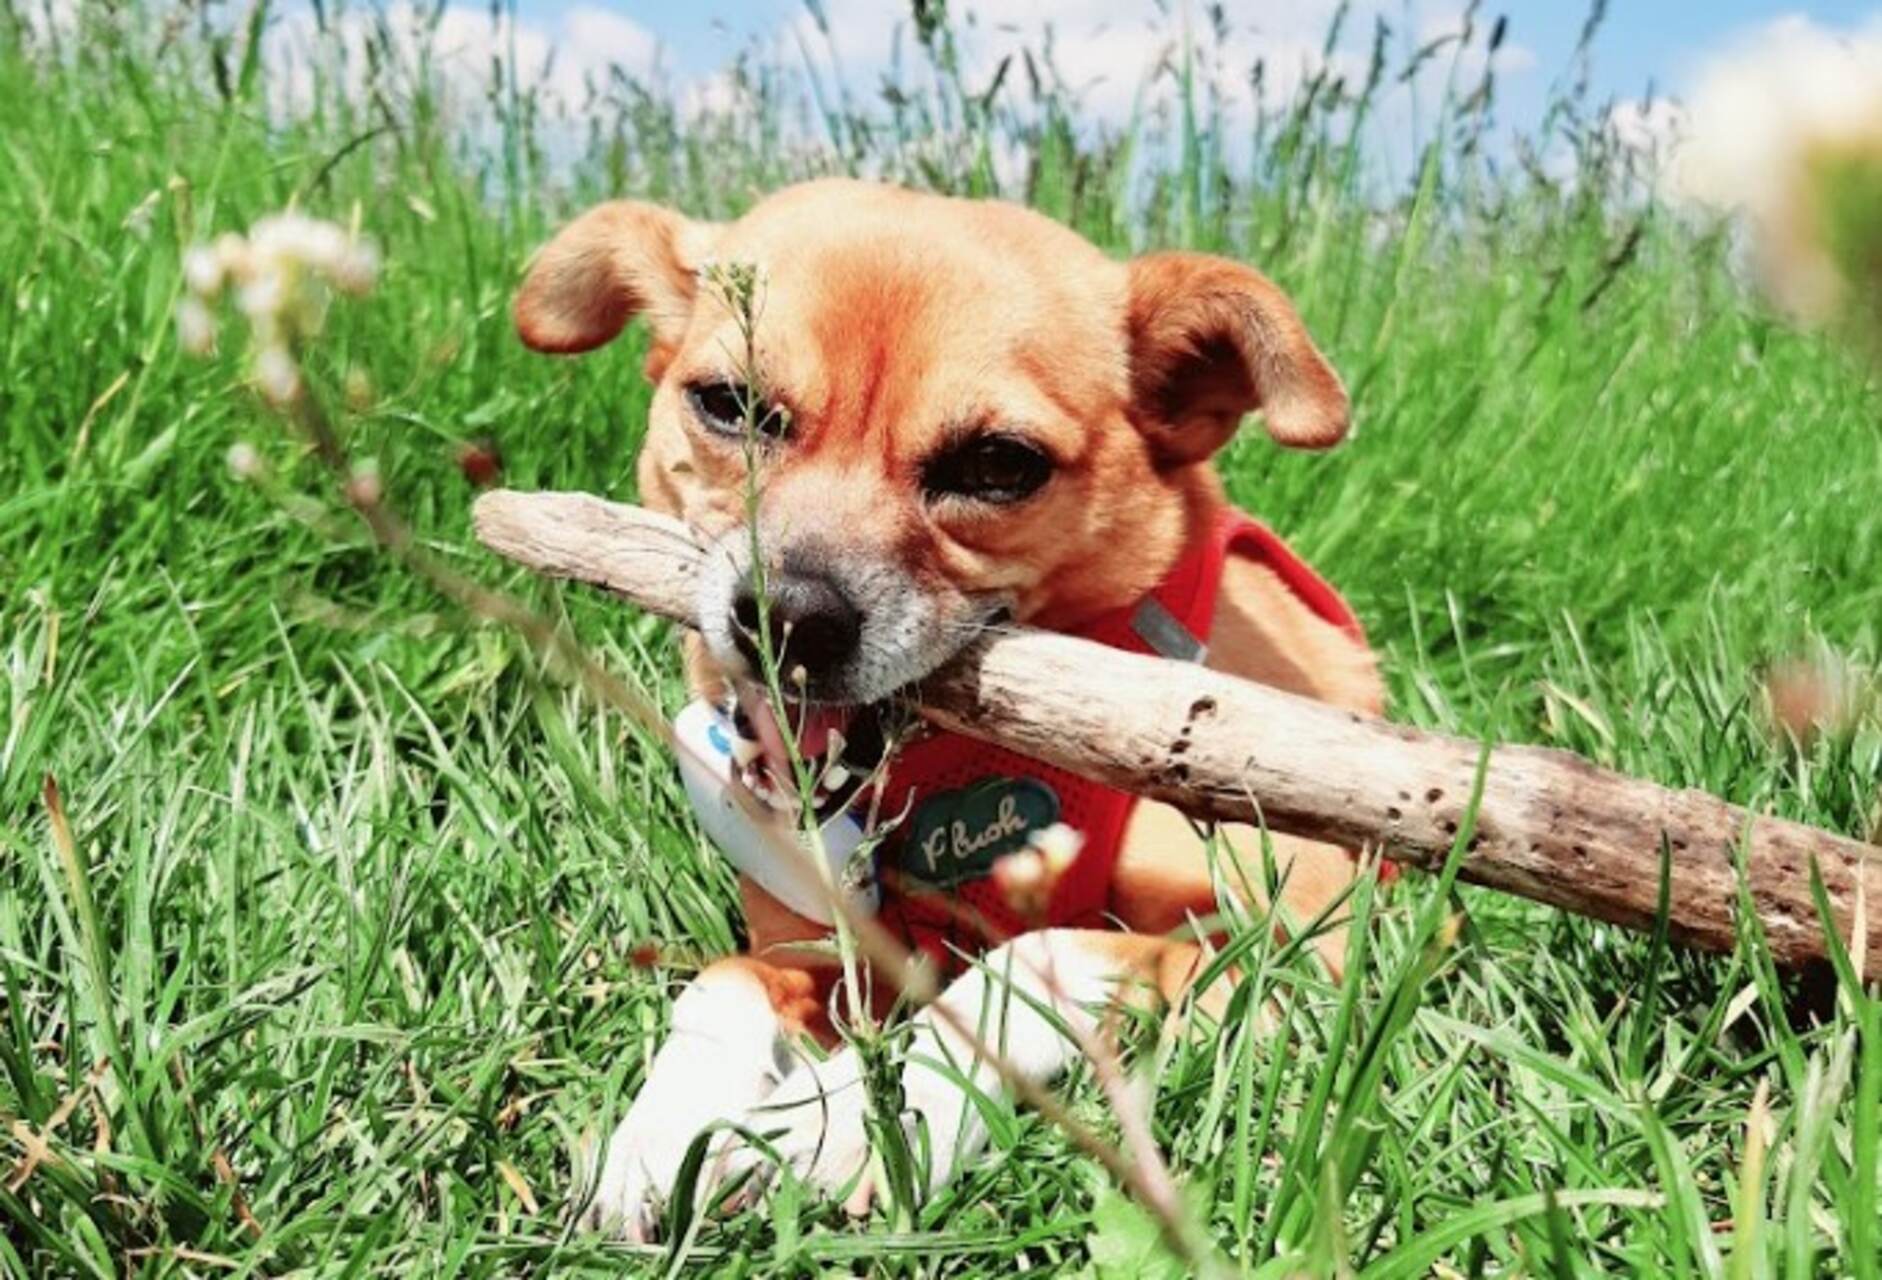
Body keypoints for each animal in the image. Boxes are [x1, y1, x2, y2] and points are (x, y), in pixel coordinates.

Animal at [515, 179, 1385, 1242]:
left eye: (999, 464)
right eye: (729, 405)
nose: (787, 616)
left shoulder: (1302, 963)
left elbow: (1030, 962)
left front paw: (845, 1114)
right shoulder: (829, 953)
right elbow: (725, 980)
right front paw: (672, 1116)